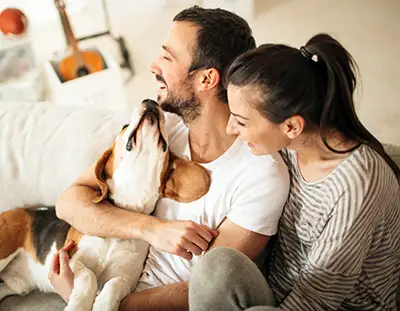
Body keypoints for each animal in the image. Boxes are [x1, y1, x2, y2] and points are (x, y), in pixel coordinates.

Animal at [0, 99, 211, 311]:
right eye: (124, 126)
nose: (150, 101)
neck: (125, 213)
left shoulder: (127, 279)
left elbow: (113, 284)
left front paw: (103, 304)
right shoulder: (72, 258)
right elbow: (89, 276)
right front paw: (79, 304)